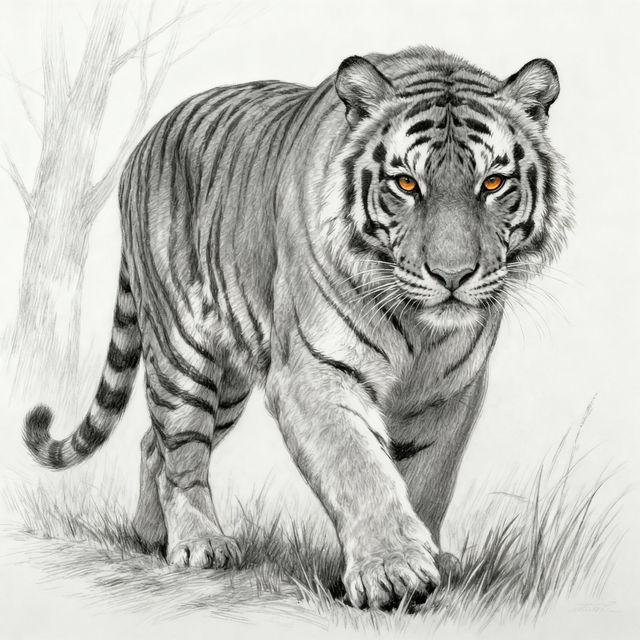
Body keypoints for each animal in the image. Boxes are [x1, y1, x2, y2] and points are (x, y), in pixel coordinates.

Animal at [23, 45, 572, 610]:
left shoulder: (450, 391)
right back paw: (199, 544)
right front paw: (392, 570)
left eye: (492, 183)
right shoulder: (314, 374)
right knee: (181, 451)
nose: (453, 275)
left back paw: (153, 536)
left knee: (153, 446)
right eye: (405, 183)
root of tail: (143, 145)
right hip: (184, 356)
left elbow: (429, 478)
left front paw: (432, 559)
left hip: (230, 382)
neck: (421, 331)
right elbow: (360, 468)